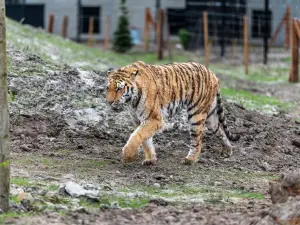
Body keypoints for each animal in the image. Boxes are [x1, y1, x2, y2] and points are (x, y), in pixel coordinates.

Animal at [105, 60, 239, 165]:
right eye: (108, 88)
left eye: (119, 88)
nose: (109, 102)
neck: (131, 100)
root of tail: (212, 73)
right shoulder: (139, 120)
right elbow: (145, 140)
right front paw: (150, 159)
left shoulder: (154, 119)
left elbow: (137, 136)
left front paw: (129, 156)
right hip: (210, 116)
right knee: (220, 130)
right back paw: (227, 151)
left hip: (196, 114)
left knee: (197, 140)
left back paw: (190, 159)